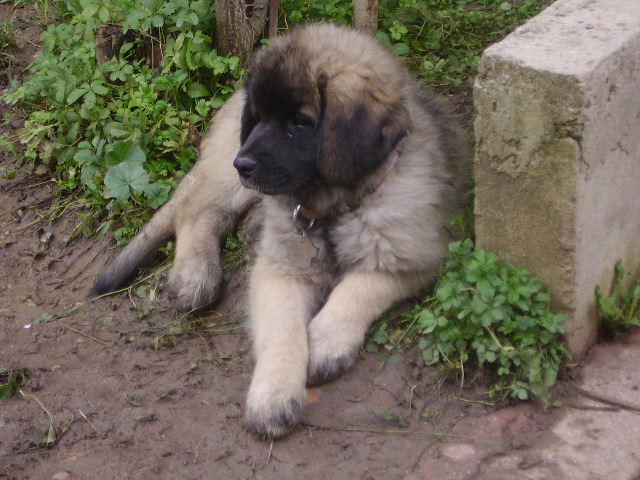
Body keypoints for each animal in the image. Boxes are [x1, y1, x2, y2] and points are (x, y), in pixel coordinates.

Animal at [91, 23, 470, 438]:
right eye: (257, 119)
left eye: (300, 123)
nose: (243, 164)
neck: (333, 206)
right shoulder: (280, 270)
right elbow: (283, 331)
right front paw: (272, 396)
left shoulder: (410, 256)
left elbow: (357, 289)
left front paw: (325, 341)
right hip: (227, 177)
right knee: (198, 211)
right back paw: (196, 272)